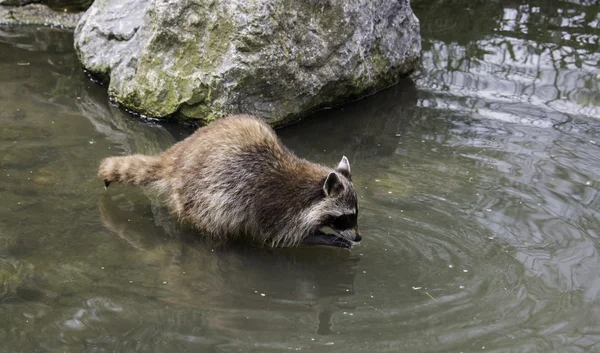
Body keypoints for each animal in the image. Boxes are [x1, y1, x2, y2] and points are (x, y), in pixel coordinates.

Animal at [99, 114, 360, 246]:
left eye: (355, 214)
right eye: (346, 217)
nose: (358, 236)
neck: (309, 190)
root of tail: (178, 155)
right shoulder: (273, 206)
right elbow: (277, 236)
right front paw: (322, 237)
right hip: (201, 195)